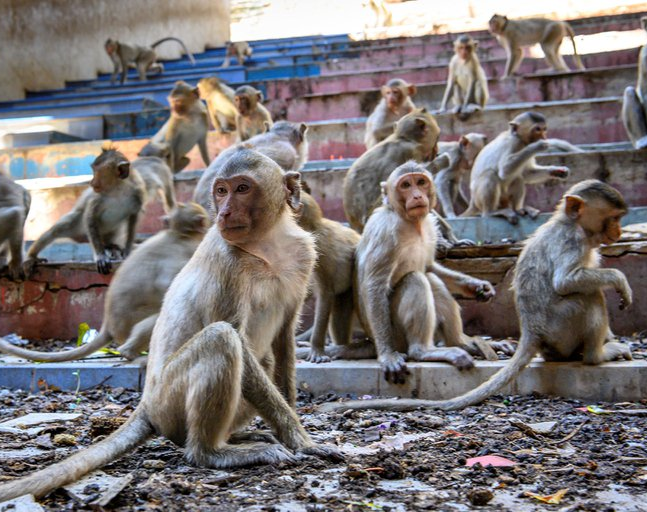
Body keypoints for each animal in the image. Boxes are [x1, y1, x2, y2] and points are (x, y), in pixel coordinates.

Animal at [0, 203, 209, 362]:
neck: (177, 233)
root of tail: (108, 326)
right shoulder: (184, 250)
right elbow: (166, 283)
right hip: (128, 323)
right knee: (159, 315)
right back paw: (130, 353)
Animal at [23, 146, 145, 276]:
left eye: (96, 172)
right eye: (93, 170)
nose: (91, 182)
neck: (118, 189)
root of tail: (81, 238)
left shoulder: (138, 193)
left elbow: (133, 219)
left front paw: (127, 252)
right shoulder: (98, 197)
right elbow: (90, 217)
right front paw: (100, 256)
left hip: (111, 234)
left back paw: (113, 247)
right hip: (76, 225)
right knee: (56, 230)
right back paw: (31, 257)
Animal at [320, 180, 632, 412]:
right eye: (613, 218)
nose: (618, 230)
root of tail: (532, 333)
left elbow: (431, 266)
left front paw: (478, 287)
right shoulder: (572, 240)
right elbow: (566, 281)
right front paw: (619, 280)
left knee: (430, 278)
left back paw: (463, 342)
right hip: (560, 328)